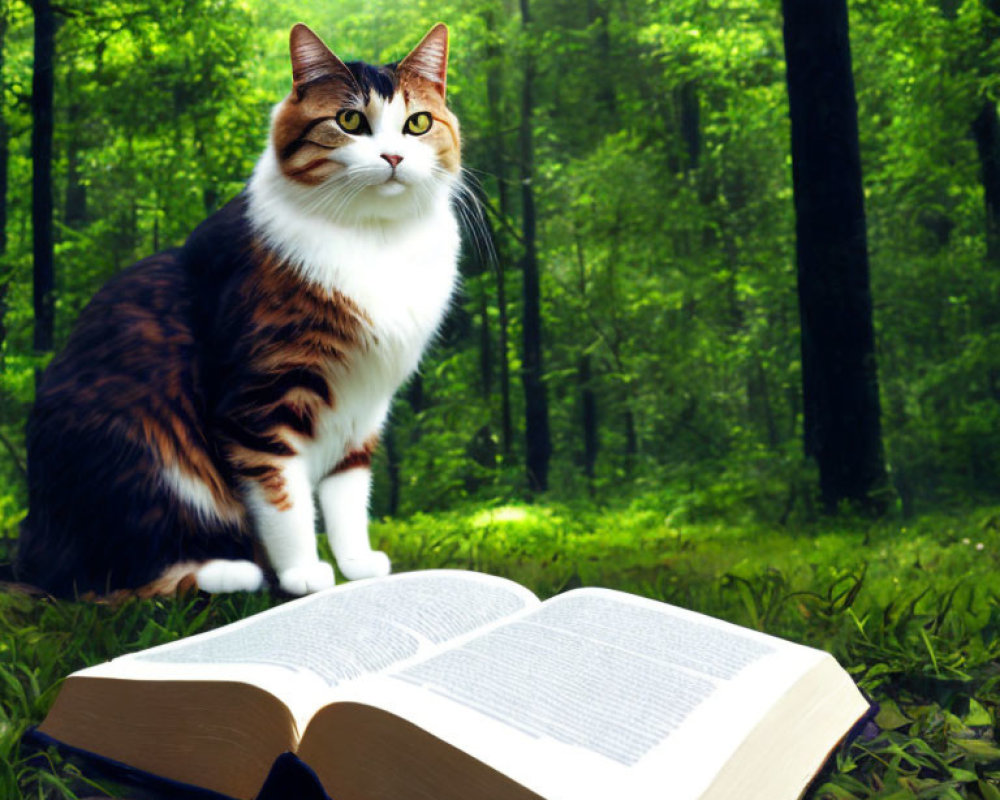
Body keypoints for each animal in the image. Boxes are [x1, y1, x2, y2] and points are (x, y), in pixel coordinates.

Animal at [15, 23, 460, 600]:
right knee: (103, 579)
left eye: (418, 123)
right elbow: (282, 493)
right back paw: (231, 572)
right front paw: (303, 575)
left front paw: (357, 565)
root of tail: (30, 540)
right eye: (350, 122)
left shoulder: (364, 402)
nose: (393, 158)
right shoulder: (260, 397)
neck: (376, 238)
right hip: (136, 454)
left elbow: (347, 494)